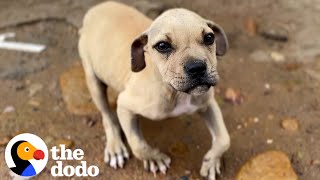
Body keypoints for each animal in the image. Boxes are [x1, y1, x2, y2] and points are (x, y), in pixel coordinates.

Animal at [79, 1, 231, 179]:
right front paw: (155, 159)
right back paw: (115, 147)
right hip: (93, 80)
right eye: (162, 46)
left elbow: (224, 139)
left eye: (209, 38)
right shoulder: (125, 105)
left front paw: (211, 162)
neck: (175, 92)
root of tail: (95, 8)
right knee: (107, 116)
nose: (197, 67)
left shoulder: (207, 103)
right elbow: (137, 145)